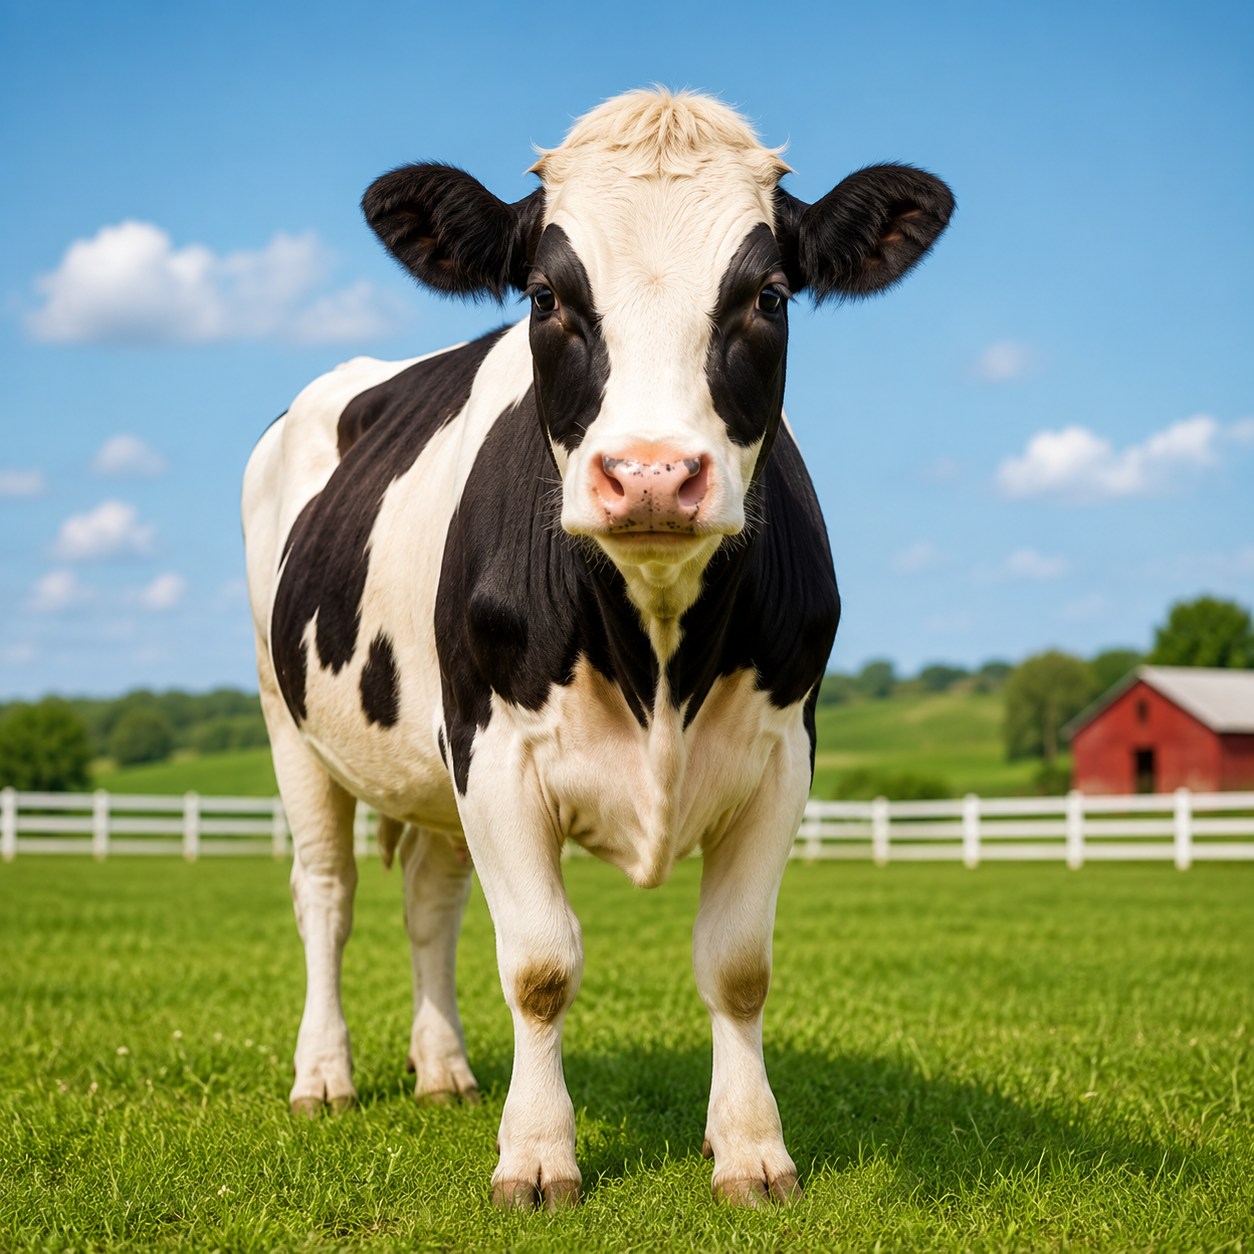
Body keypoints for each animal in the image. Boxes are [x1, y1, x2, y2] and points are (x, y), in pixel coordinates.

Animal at [243, 88, 952, 1211]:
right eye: (544, 296)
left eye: (769, 295)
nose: (652, 474)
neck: (657, 647)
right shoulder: (495, 751)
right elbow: (539, 965)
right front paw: (536, 1158)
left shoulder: (782, 757)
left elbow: (737, 965)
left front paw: (750, 1151)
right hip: (290, 724)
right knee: (327, 896)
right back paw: (325, 1078)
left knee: (430, 902)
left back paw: (444, 1071)